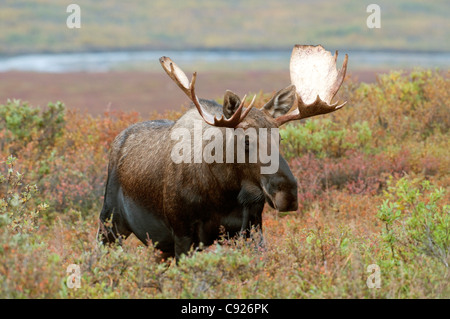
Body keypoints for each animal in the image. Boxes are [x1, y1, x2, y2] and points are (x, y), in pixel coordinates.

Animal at [98, 44, 348, 260]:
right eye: (246, 140)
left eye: (280, 137)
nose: (287, 194)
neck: (224, 192)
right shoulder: (182, 233)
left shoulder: (252, 228)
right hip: (109, 224)